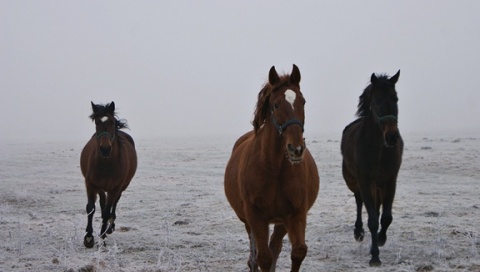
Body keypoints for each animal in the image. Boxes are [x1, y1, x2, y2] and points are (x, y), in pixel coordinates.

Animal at [79, 101, 137, 248]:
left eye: (111, 122)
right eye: (97, 122)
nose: (105, 149)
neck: (106, 164)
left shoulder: (115, 188)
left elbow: (106, 211)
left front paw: (102, 236)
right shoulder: (90, 184)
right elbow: (91, 208)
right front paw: (88, 237)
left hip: (121, 187)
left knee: (113, 204)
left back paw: (110, 226)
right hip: (100, 187)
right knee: (102, 201)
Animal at [224, 65, 318, 270]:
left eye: (303, 101)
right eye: (275, 105)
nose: (296, 149)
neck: (275, 169)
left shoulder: (296, 214)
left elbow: (298, 251)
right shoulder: (256, 217)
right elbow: (263, 259)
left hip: (281, 222)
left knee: (275, 247)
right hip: (248, 221)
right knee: (254, 257)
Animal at [342, 70, 404, 266]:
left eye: (395, 98)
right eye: (376, 101)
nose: (391, 137)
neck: (378, 150)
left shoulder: (390, 181)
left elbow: (385, 218)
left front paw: (381, 239)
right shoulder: (365, 181)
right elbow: (373, 220)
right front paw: (375, 256)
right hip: (355, 182)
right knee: (359, 201)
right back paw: (358, 232)